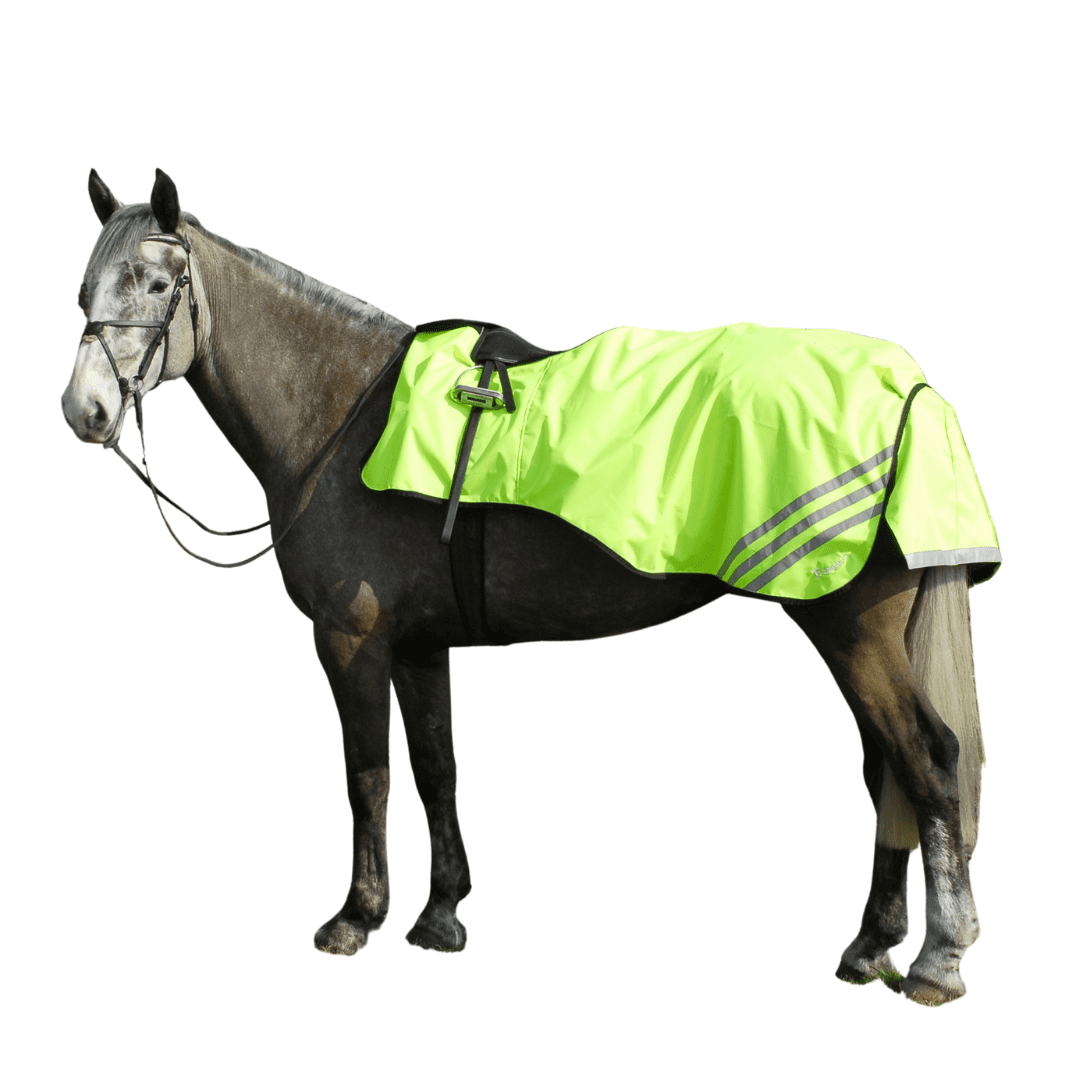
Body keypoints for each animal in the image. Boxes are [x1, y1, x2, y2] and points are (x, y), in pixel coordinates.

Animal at [61, 169, 988, 1006]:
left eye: (156, 283)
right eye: (84, 291)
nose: (86, 411)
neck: (344, 414)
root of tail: (913, 392)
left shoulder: (350, 638)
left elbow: (368, 774)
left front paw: (357, 917)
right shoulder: (419, 643)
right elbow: (436, 767)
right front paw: (441, 914)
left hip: (850, 629)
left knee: (926, 759)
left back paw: (938, 960)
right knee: (884, 772)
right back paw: (871, 944)